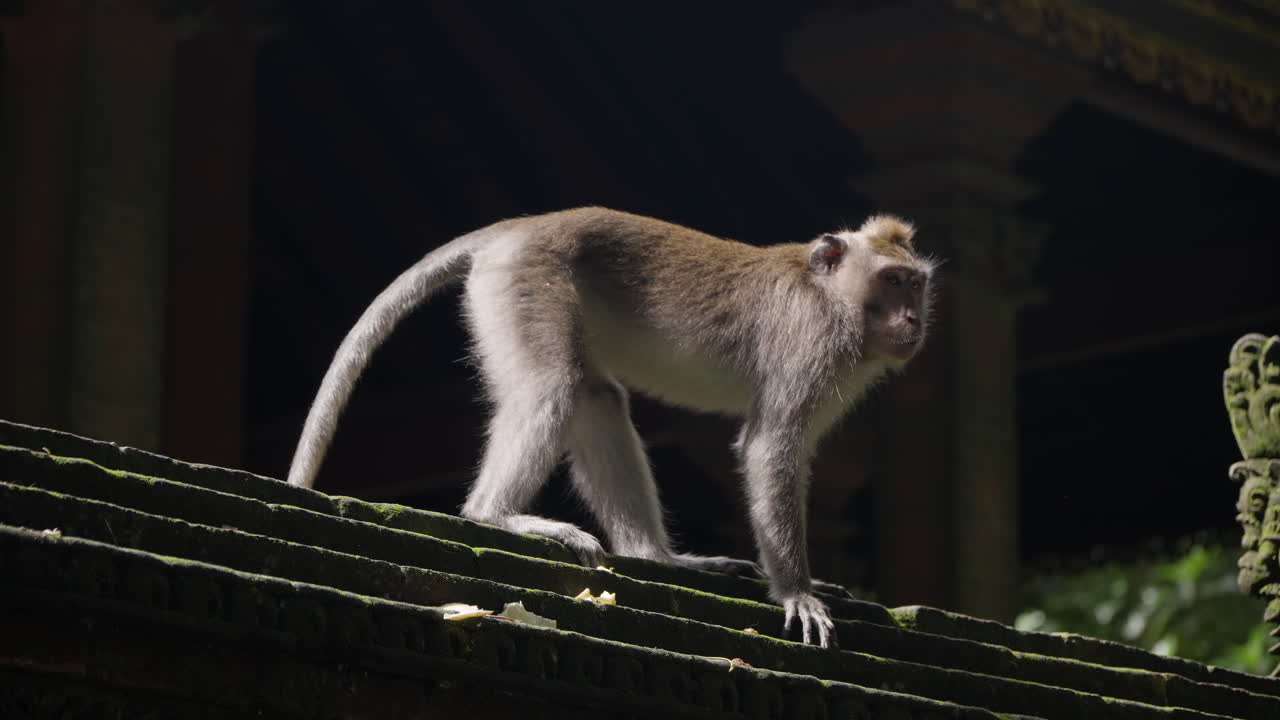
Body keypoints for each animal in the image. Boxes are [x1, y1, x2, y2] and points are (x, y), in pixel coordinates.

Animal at [286, 207, 935, 648]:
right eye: (891, 281)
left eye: (916, 283)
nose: (913, 322)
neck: (830, 297)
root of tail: (519, 228)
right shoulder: (810, 346)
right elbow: (771, 447)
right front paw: (797, 591)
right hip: (524, 283)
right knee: (554, 385)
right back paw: (497, 516)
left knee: (596, 398)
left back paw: (658, 558)